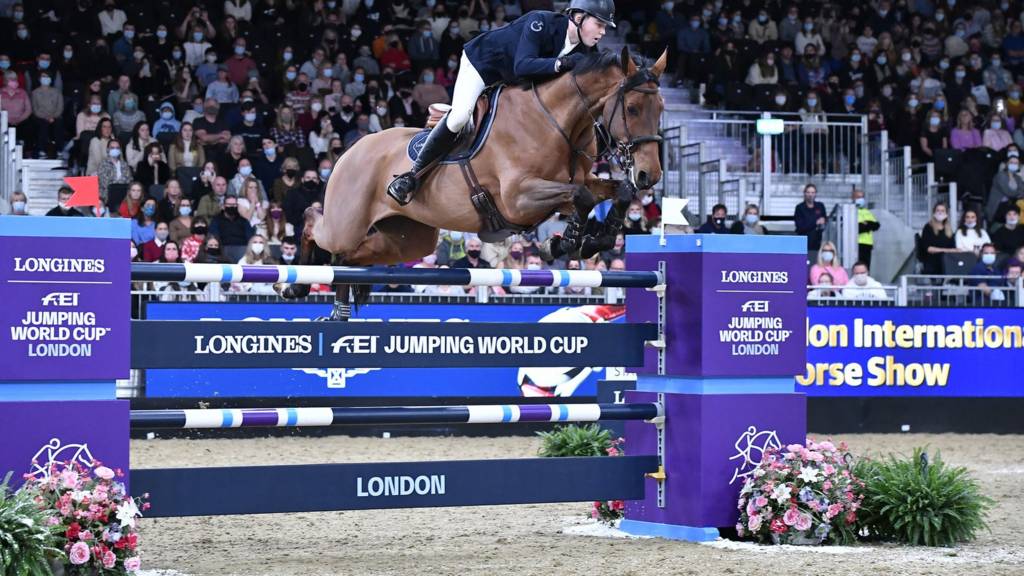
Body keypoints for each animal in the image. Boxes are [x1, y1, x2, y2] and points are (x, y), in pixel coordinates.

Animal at [292, 47, 667, 317]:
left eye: (661, 108)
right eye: (632, 108)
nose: (650, 175)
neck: (557, 122)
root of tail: (353, 149)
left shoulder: (577, 181)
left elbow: (615, 190)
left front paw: (593, 239)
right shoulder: (518, 199)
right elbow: (582, 197)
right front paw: (567, 242)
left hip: (407, 239)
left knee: (349, 257)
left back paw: (338, 309)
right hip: (347, 221)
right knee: (313, 220)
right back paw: (295, 285)